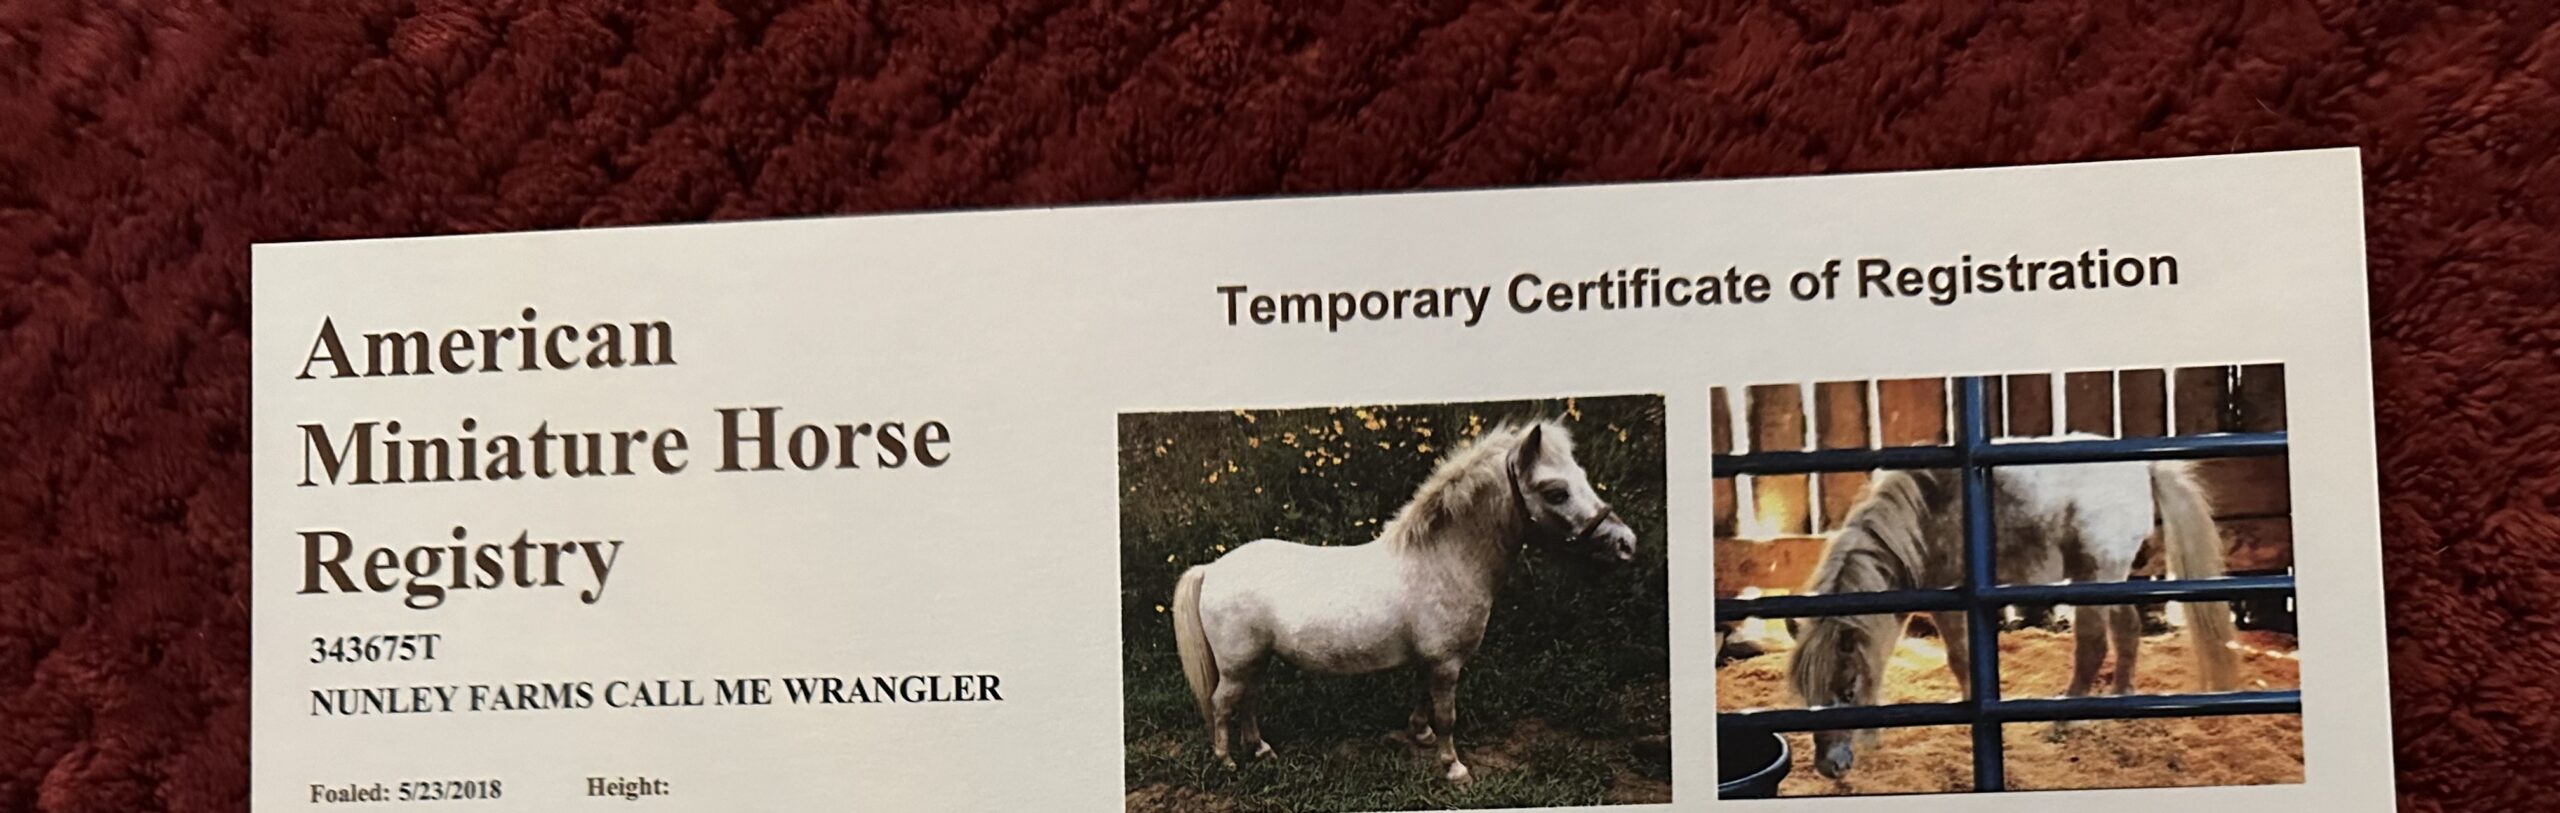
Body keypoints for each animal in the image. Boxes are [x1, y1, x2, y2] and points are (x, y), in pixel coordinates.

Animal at [1168, 419, 1638, 783]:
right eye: (1556, 492)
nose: (1626, 543)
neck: (1442, 558)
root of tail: (1212, 568)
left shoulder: (1431, 660)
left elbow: (1423, 699)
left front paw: (1421, 735)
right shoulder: (1446, 663)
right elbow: (1448, 715)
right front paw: (1454, 768)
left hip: (1255, 660)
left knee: (1246, 700)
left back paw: (1261, 750)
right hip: (1238, 664)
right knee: (1223, 704)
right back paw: (1227, 761)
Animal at [1783, 451, 2240, 779]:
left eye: (1847, 690)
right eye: (1805, 694)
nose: (1830, 767)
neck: (1923, 519)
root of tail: (2143, 467)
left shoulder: (1946, 599)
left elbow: (1959, 657)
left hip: (2093, 574)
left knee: (2092, 646)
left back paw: (2064, 723)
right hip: (2112, 577)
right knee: (2127, 630)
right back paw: (2121, 697)